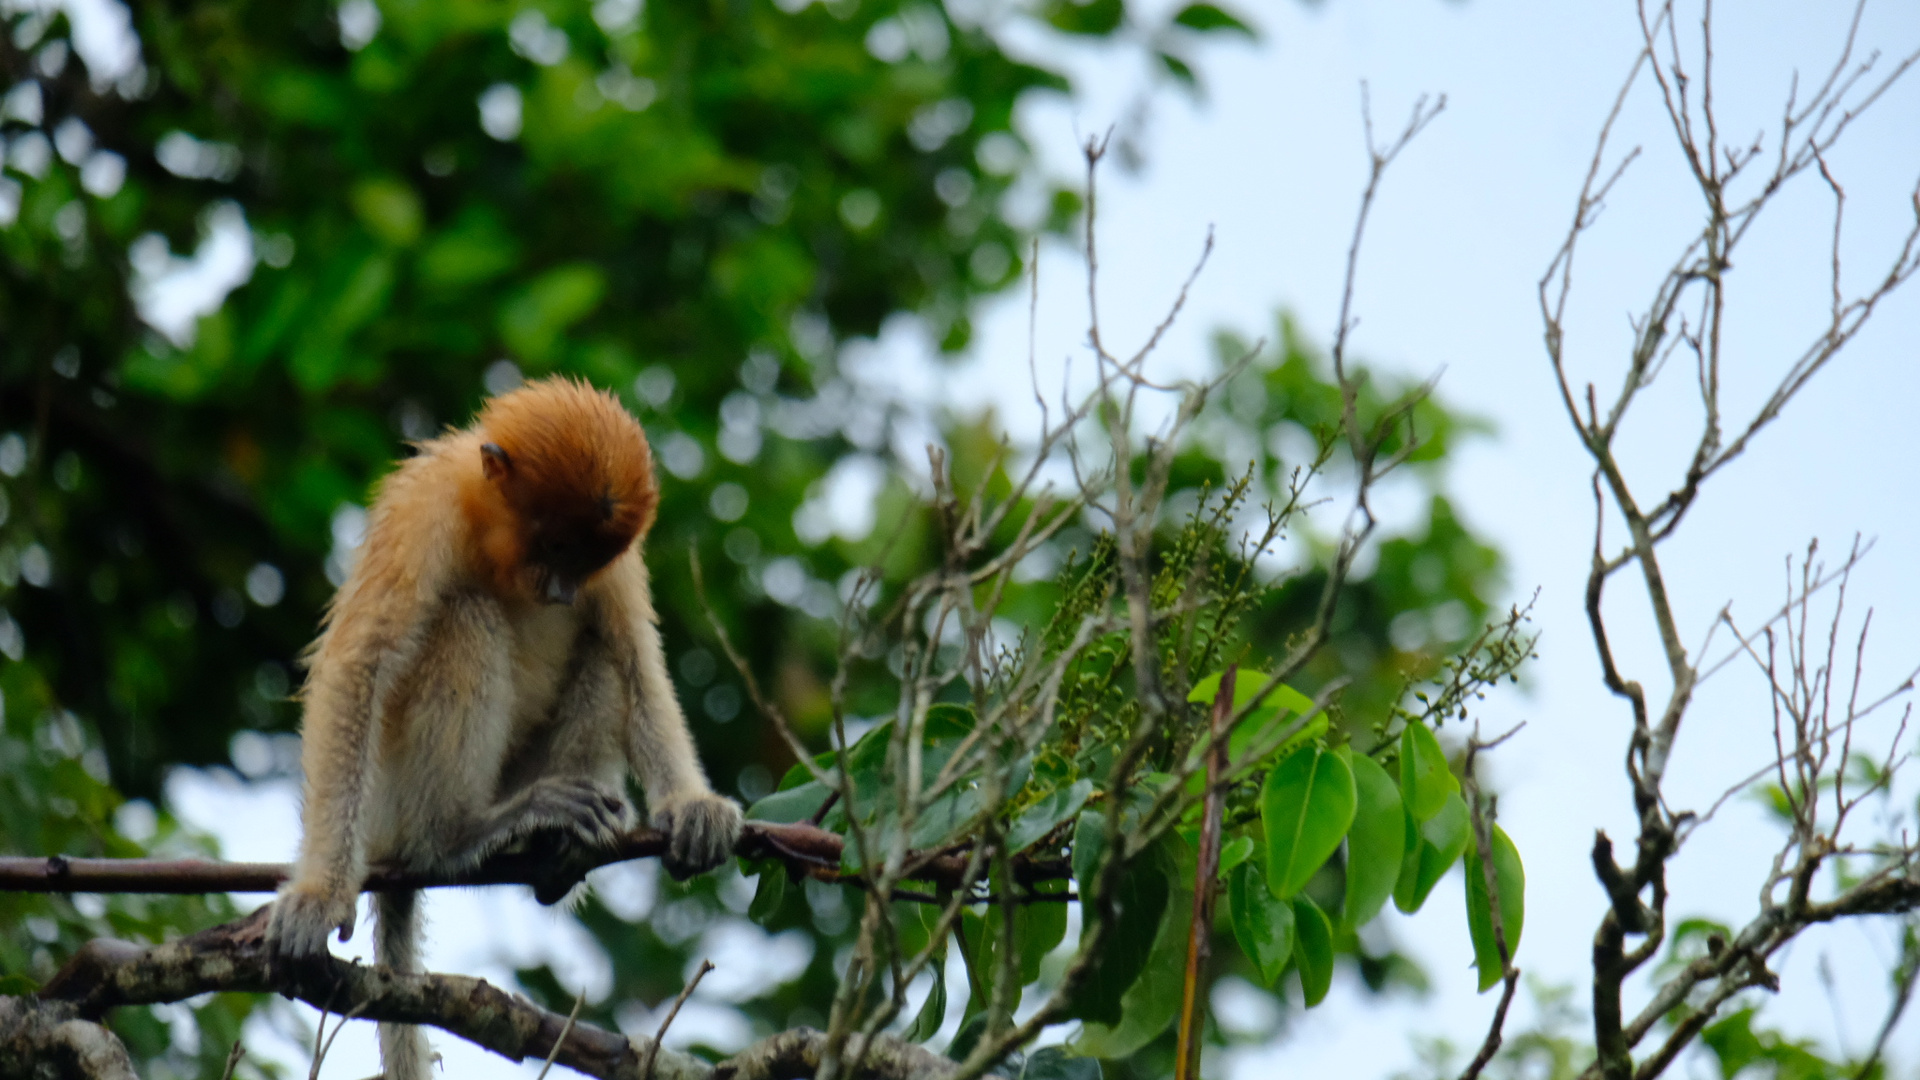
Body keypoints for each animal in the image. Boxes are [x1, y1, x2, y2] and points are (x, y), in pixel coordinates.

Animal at [268, 374, 741, 1068]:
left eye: (585, 560)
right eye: (553, 545)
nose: (564, 592)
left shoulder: (620, 563)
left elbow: (636, 658)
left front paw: (692, 809)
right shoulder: (424, 513)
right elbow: (359, 668)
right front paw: (318, 897)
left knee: (600, 652)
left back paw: (557, 853)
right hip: (391, 791)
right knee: (467, 617)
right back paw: (457, 835)